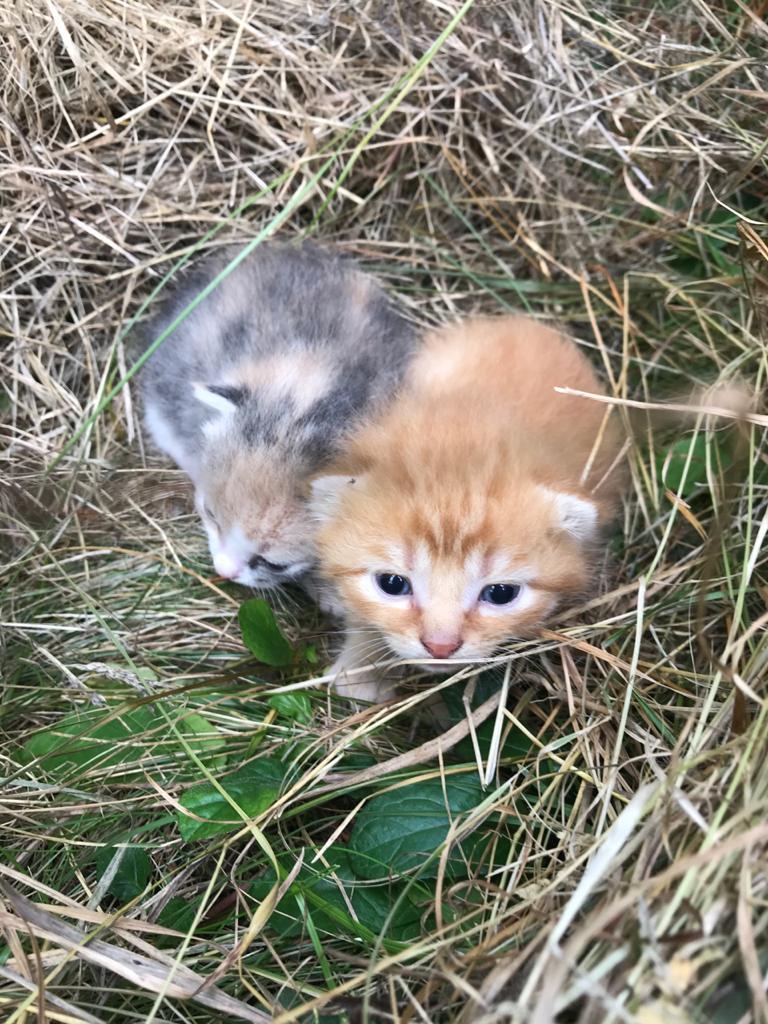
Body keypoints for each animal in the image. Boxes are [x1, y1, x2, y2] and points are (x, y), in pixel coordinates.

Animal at [311, 315, 626, 700]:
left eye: (501, 593)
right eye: (392, 583)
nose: (440, 646)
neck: (462, 446)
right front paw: (360, 671)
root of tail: (525, 322)